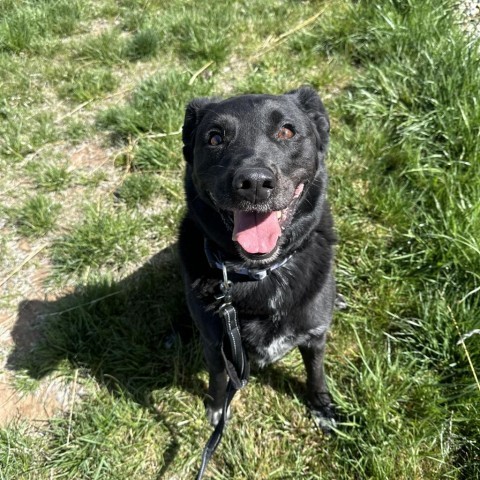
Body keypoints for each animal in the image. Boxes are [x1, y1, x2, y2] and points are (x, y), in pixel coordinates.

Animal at [179, 86, 338, 432]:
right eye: (215, 138)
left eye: (286, 131)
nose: (253, 183)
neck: (264, 273)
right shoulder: (216, 343)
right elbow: (217, 377)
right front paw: (217, 407)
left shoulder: (316, 337)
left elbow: (316, 373)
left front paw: (323, 406)